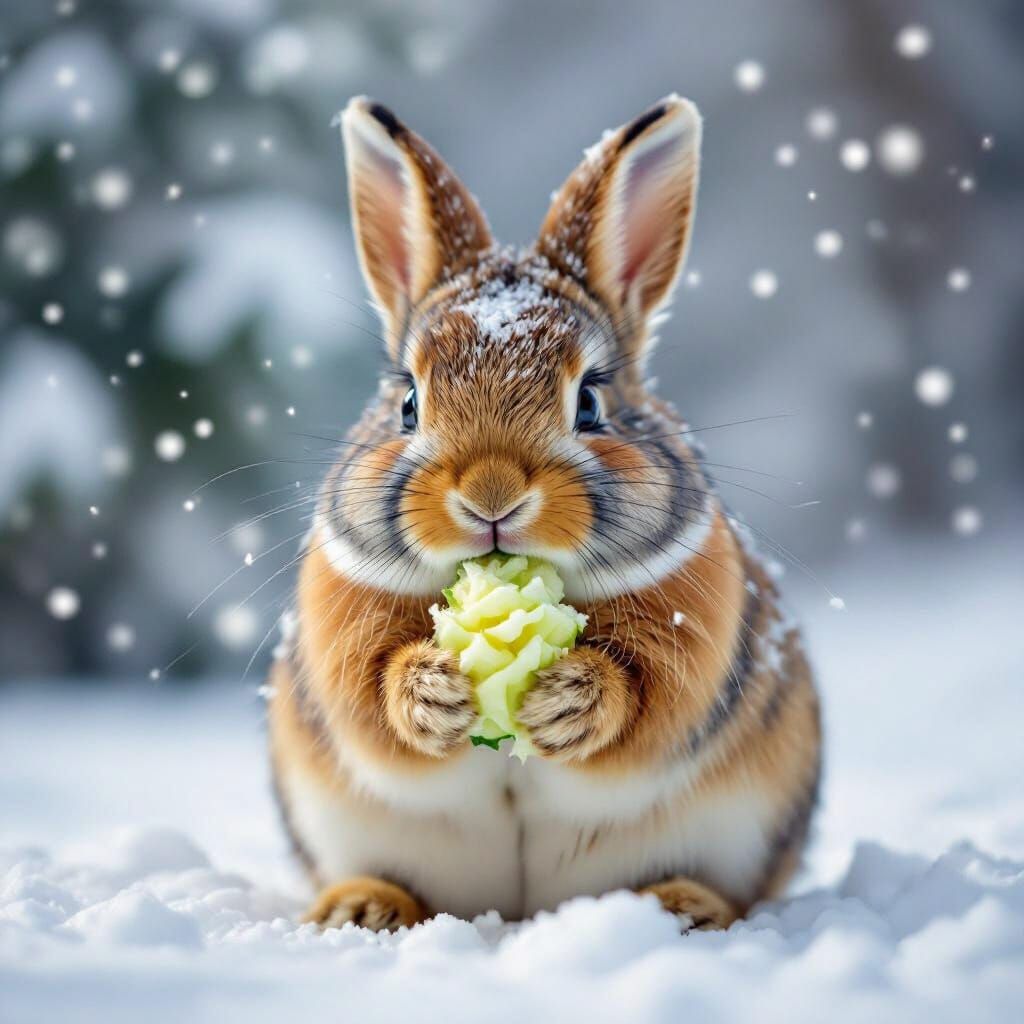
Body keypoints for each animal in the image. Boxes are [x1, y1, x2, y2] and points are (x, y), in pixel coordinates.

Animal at [267, 93, 821, 934]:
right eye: (407, 403)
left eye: (590, 401)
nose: (491, 496)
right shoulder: (341, 633)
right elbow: (371, 694)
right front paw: (434, 691)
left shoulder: (695, 633)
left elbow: (647, 695)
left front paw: (569, 700)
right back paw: (360, 906)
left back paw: (683, 906)